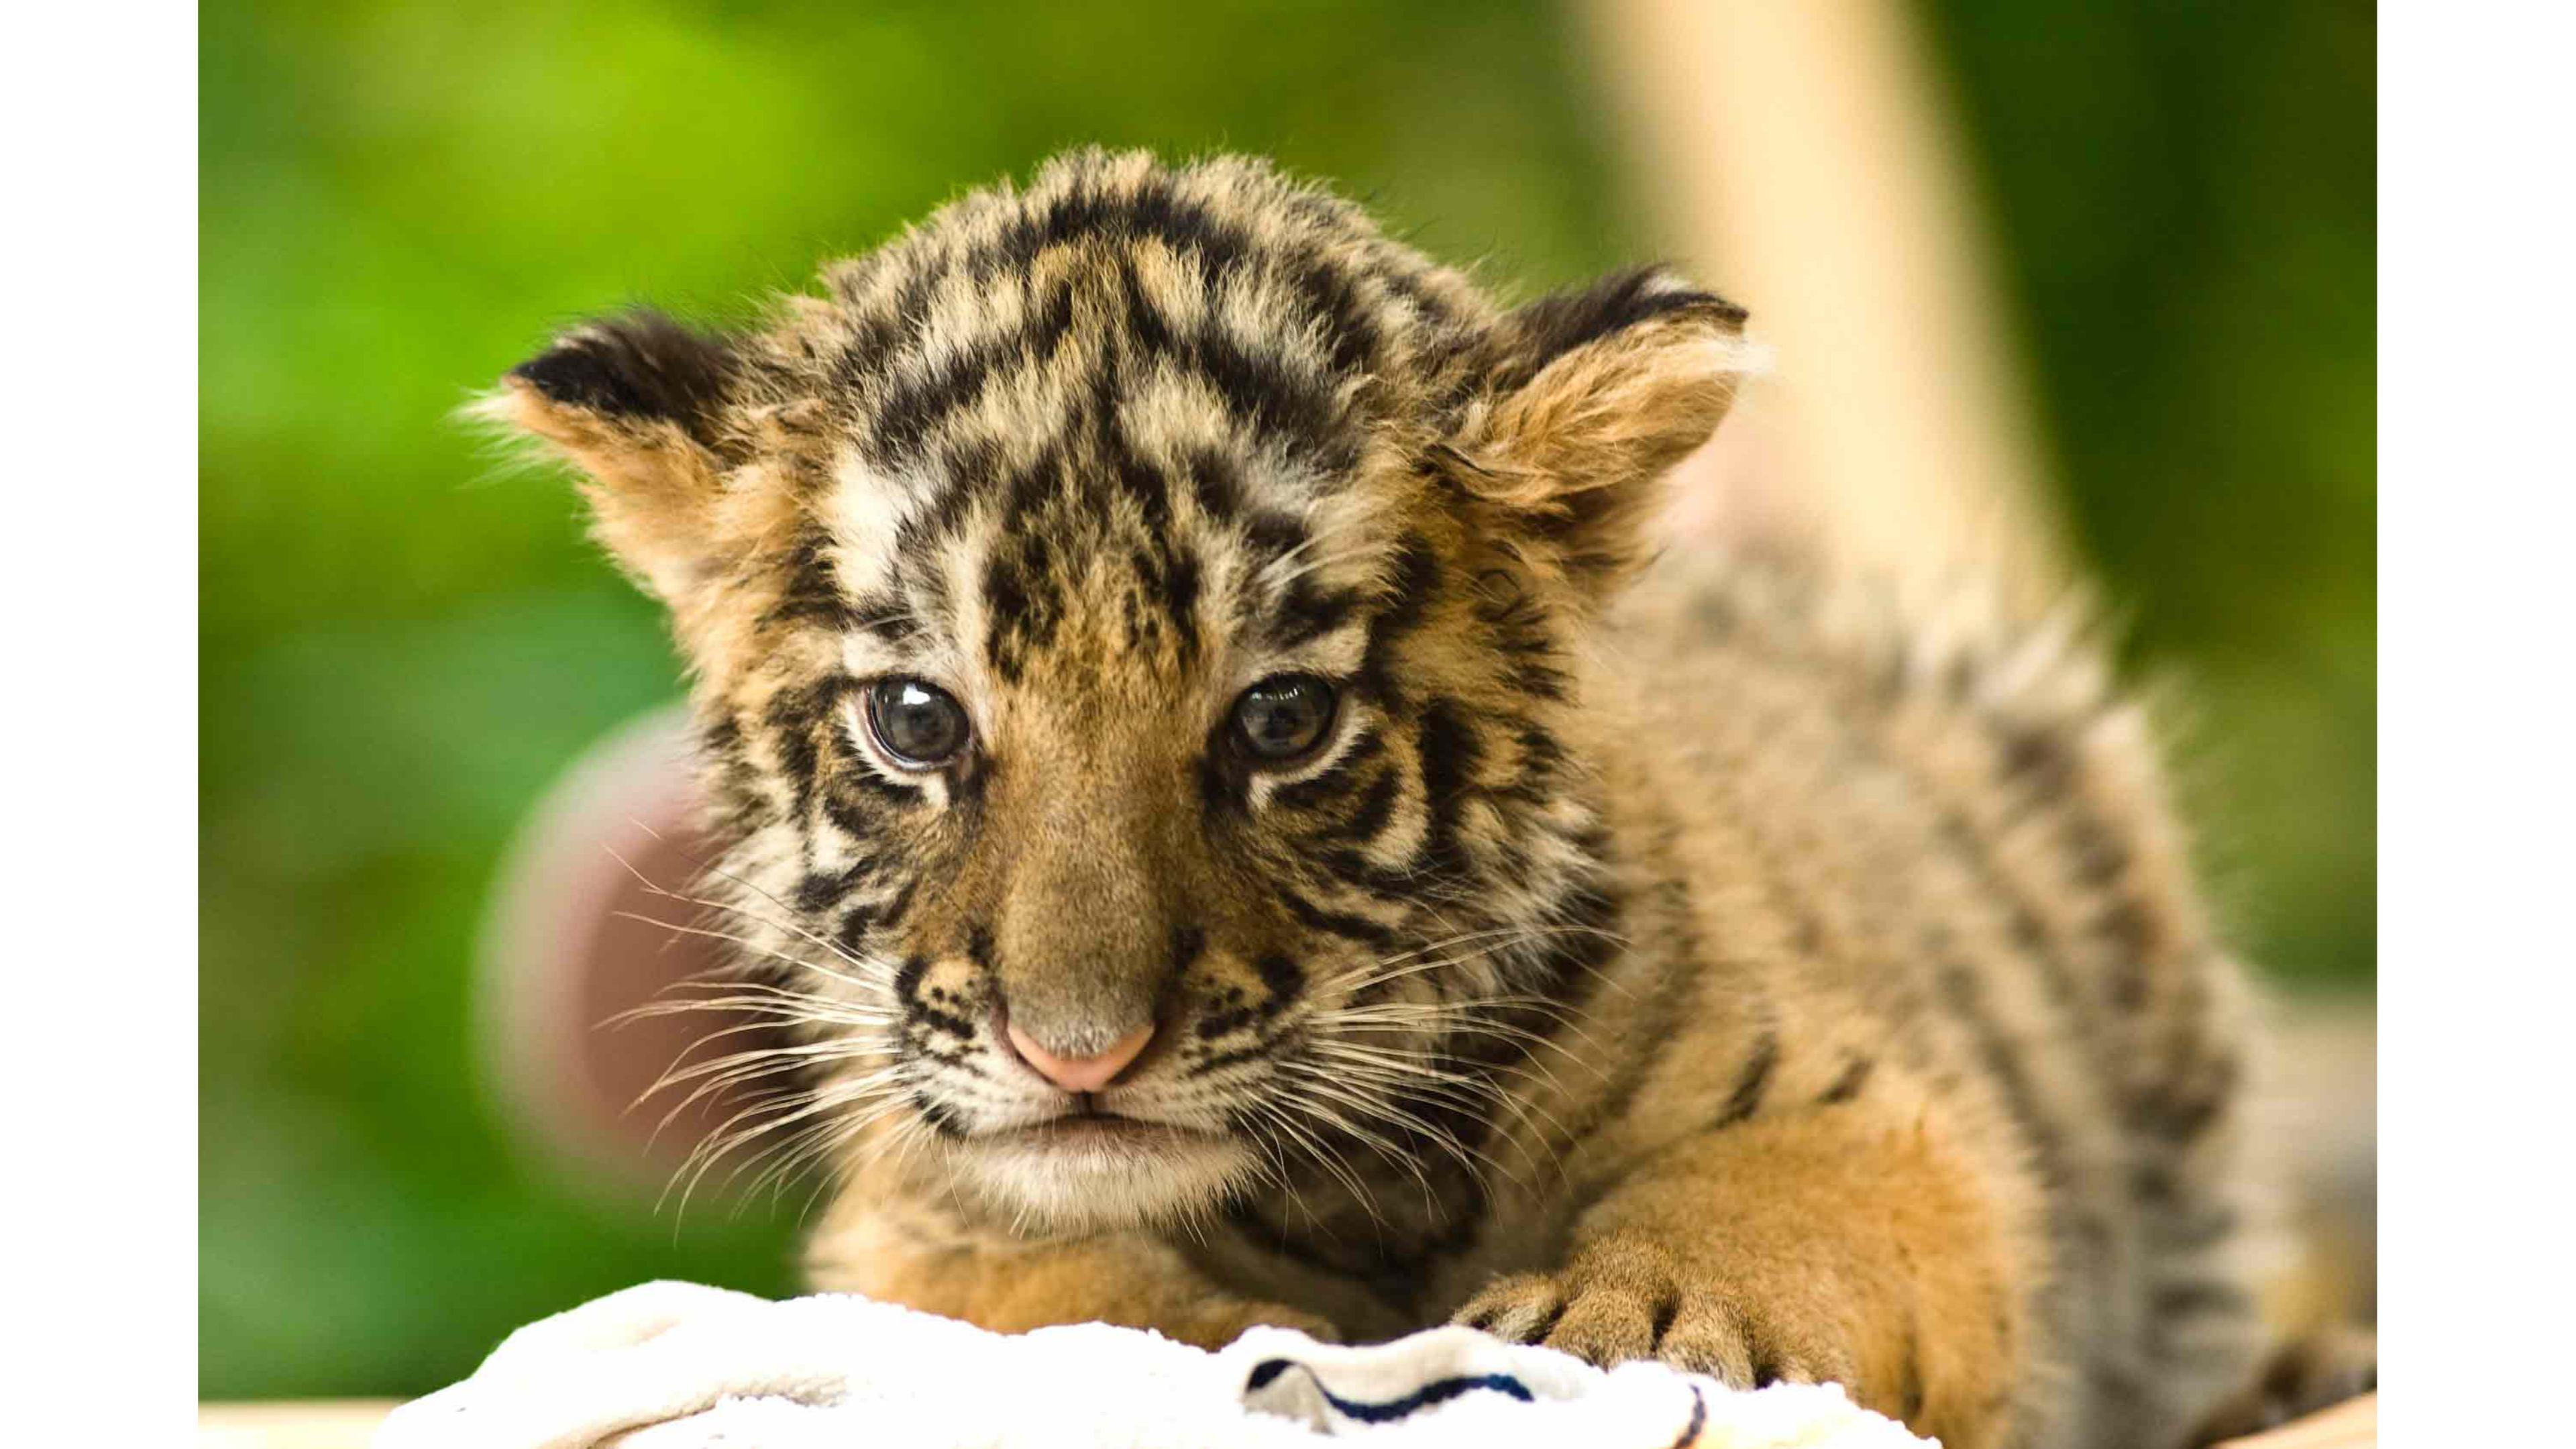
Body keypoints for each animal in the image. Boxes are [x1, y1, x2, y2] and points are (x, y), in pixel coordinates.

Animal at [482, 149, 2347, 1448]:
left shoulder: (1872, 1106)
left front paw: (1633, 1326)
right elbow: (1047, 1306)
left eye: (1281, 718)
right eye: (920, 720)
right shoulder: (923, 1216)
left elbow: (1768, 1211)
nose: (1075, 1054)